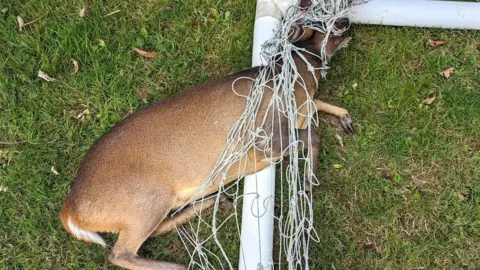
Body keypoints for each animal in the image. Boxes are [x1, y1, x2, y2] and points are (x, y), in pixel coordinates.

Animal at [59, 14, 352, 270]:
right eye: (321, 23)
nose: (346, 20)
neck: (296, 80)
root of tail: (70, 210)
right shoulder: (264, 136)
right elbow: (314, 134)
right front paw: (309, 180)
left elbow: (316, 108)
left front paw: (345, 117)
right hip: (147, 197)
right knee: (120, 253)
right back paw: (180, 264)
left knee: (152, 233)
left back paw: (212, 203)